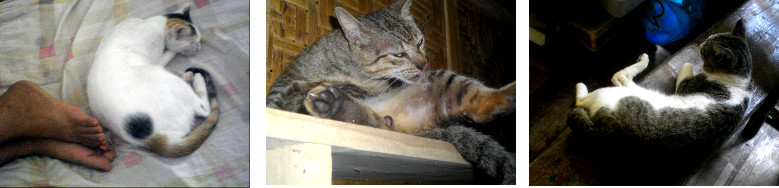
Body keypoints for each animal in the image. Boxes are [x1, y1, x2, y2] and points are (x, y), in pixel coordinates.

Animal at [568, 19, 752, 153]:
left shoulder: (685, 86)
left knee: (610, 82)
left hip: (613, 94)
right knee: (621, 78)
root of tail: (605, 132)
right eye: (707, 40)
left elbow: (686, 65)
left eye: (705, 48)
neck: (739, 80)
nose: (700, 44)